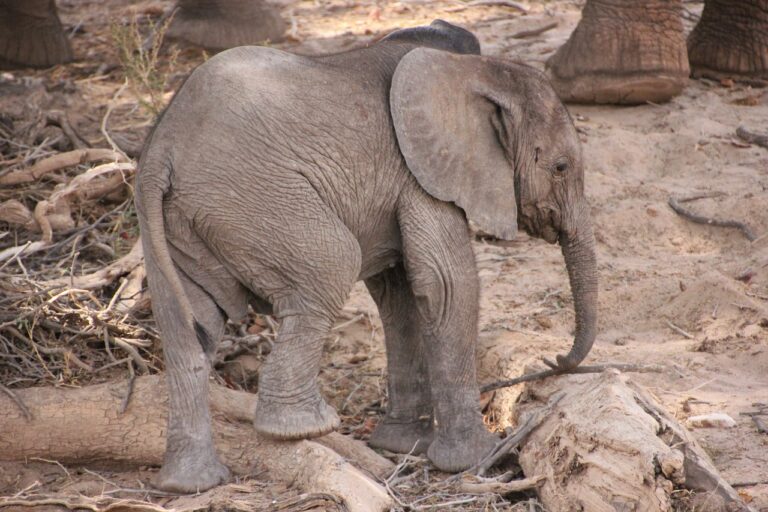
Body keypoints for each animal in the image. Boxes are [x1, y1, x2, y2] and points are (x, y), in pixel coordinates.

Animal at [135, 19, 596, 492]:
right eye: (560, 167)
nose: (556, 360)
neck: (472, 70)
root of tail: (161, 152)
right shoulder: (420, 174)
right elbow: (446, 286)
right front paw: (478, 457)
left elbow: (403, 295)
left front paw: (403, 445)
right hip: (253, 199)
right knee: (333, 266)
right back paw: (305, 428)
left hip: (180, 221)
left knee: (190, 326)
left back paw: (191, 484)